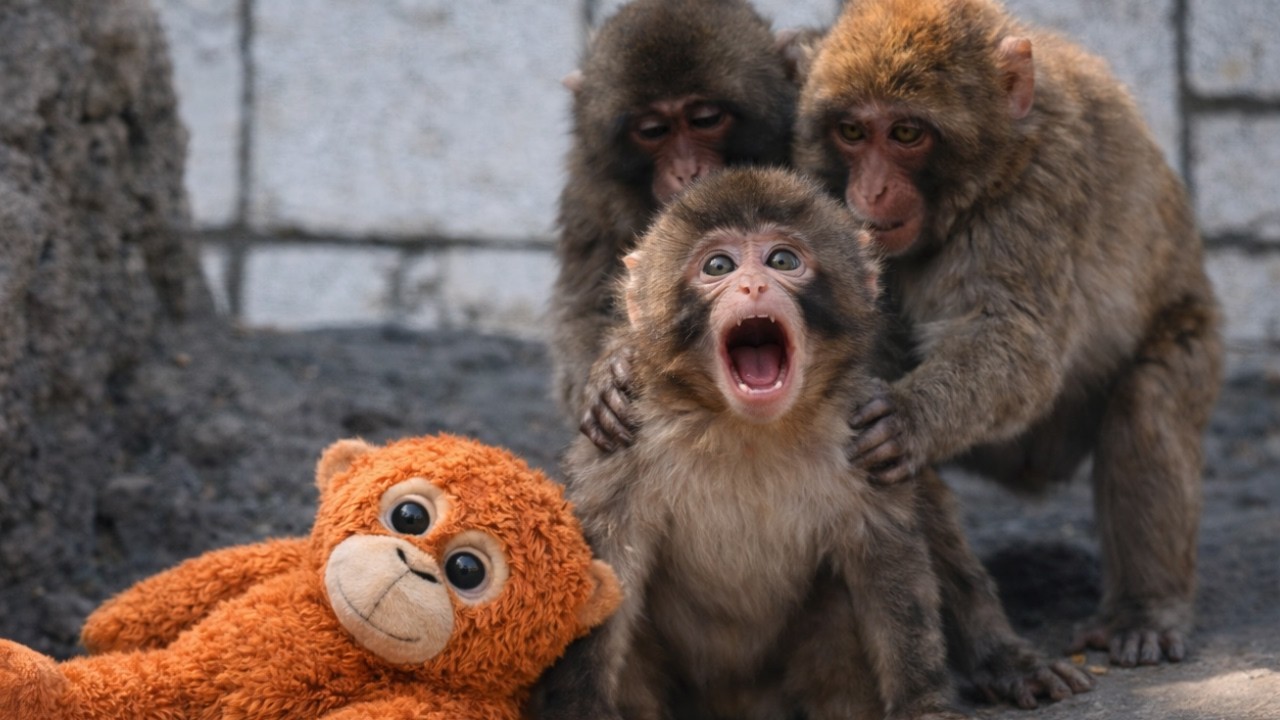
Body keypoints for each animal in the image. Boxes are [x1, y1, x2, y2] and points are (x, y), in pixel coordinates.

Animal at [532, 167, 978, 720]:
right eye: (718, 266)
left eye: (782, 260)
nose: (753, 284)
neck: (746, 427)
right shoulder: (621, 444)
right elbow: (607, 560)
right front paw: (577, 705)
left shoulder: (867, 436)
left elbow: (889, 565)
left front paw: (925, 700)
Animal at [549, 0, 808, 453]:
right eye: (653, 130)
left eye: (705, 119)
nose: (686, 171)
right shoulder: (590, 190)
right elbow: (580, 309)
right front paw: (610, 369)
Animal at [794, 0, 1223, 668]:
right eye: (853, 133)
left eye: (907, 134)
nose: (871, 191)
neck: (999, 161)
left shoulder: (1041, 190)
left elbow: (1018, 342)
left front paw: (911, 415)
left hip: (1194, 332)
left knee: (1149, 396)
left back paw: (1144, 611)